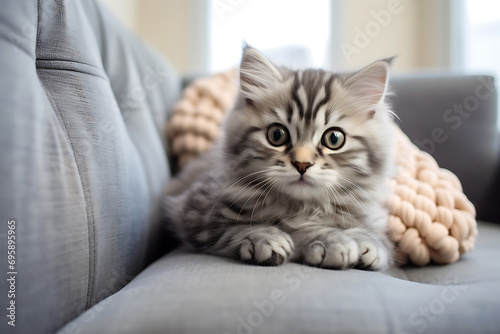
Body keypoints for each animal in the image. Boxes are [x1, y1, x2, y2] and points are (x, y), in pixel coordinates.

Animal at [166, 47, 396, 270]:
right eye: (277, 135)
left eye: (334, 138)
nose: (302, 164)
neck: (303, 207)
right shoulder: (196, 213)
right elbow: (242, 227)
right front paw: (327, 239)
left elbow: (376, 238)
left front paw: (363, 241)